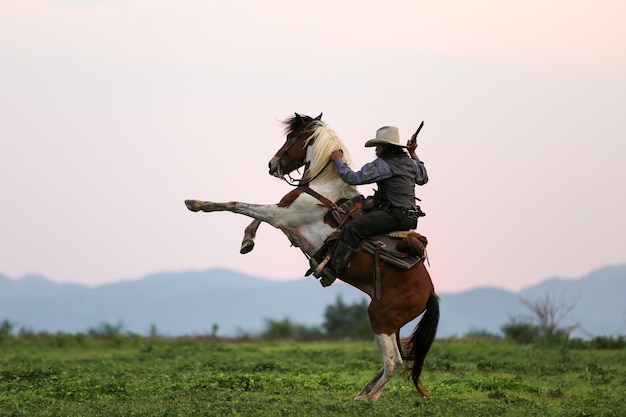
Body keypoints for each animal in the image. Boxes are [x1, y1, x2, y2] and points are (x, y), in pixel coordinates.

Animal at [184, 112, 438, 398]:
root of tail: (430, 292)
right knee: (396, 359)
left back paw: (367, 399)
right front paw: (247, 241)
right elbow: (255, 214)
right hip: (393, 324)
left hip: (380, 318)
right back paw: (363, 392)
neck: (324, 187)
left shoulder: (281, 216)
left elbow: (240, 205)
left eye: (290, 137)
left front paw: (197, 204)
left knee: (393, 361)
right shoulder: (283, 215)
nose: (272, 164)